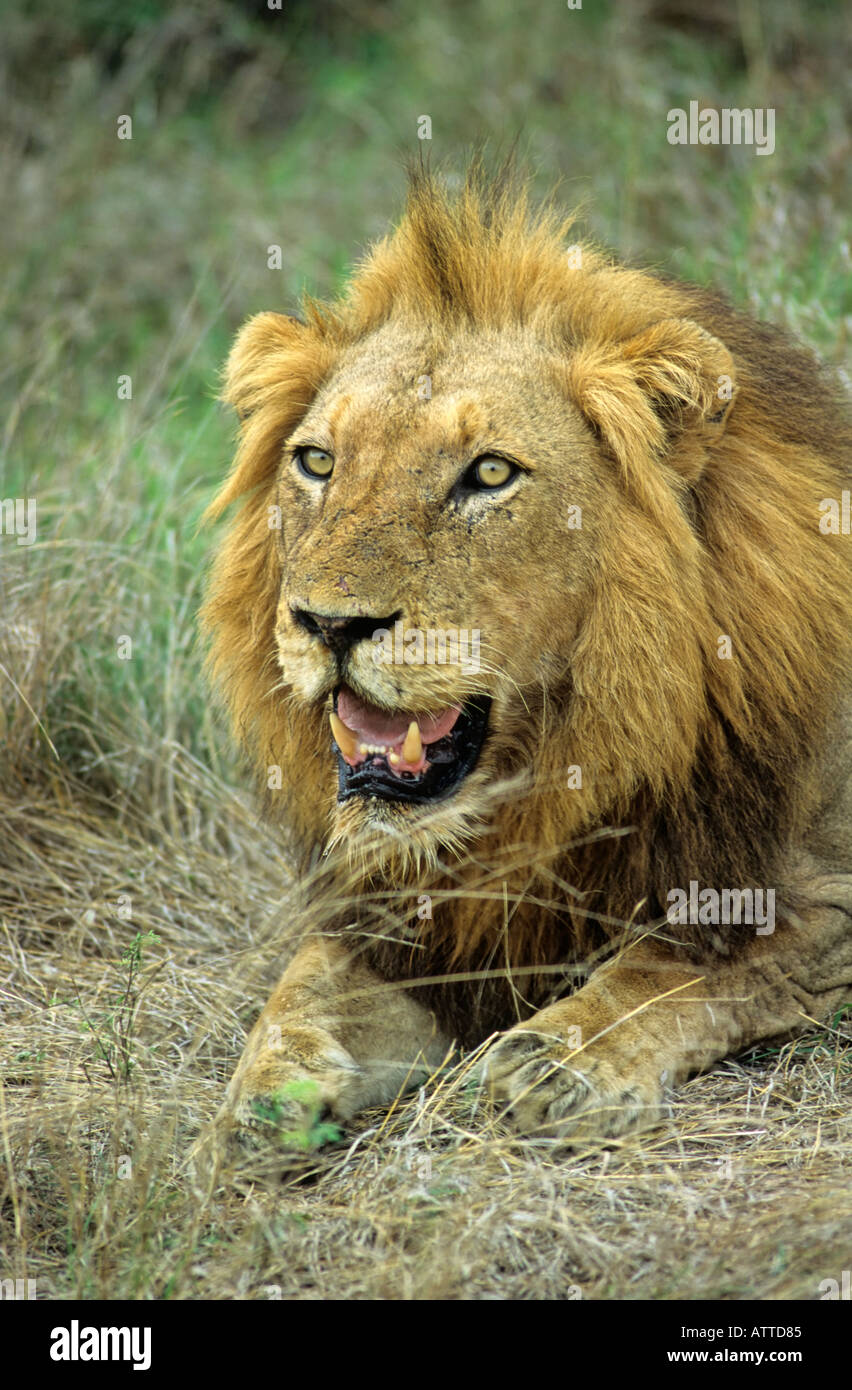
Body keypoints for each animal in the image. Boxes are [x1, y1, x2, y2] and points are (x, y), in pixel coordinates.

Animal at [200, 162, 852, 1152]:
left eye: (491, 474)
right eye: (316, 461)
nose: (330, 624)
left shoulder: (819, 899)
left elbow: (677, 966)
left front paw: (556, 1060)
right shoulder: (406, 920)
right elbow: (299, 989)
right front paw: (260, 1104)